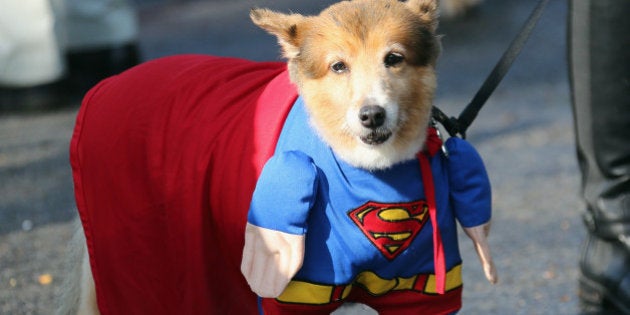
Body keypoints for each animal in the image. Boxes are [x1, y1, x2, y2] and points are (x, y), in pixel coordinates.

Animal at [60, 1, 498, 314]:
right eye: (338, 66)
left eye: (394, 58)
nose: (372, 115)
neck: (367, 173)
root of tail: (108, 84)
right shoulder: (292, 292)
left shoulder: (419, 287)